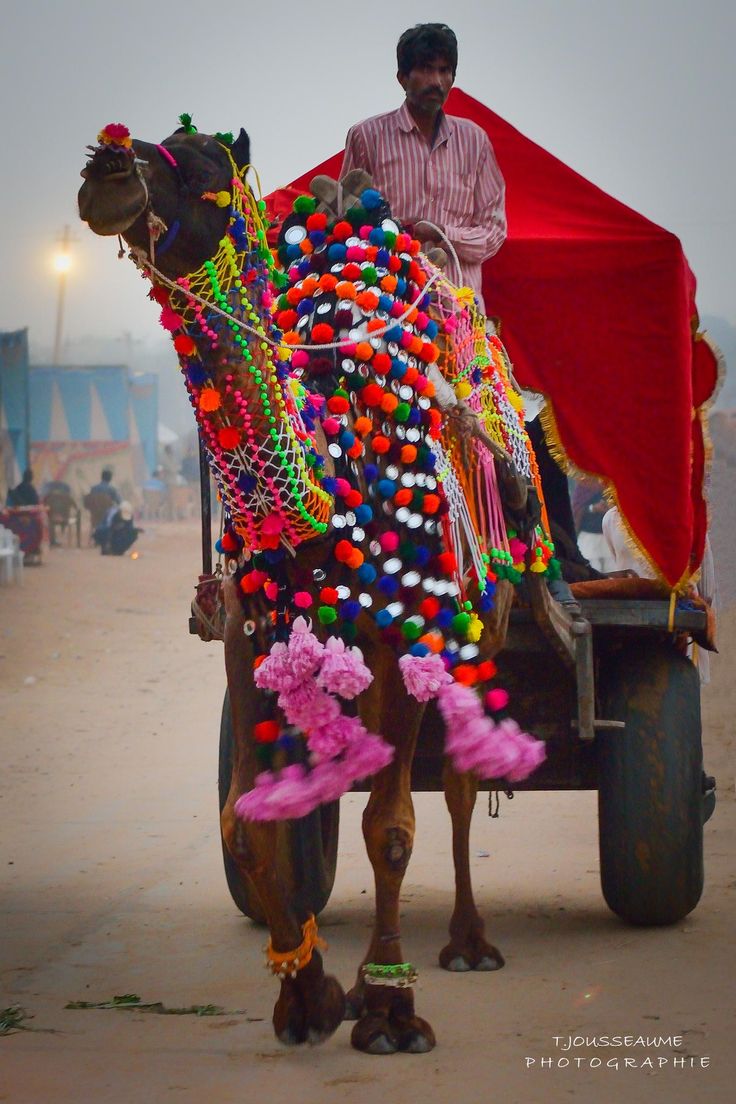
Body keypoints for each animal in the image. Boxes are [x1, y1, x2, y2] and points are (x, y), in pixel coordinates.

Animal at [77, 120, 558, 1051]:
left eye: (204, 166)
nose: (107, 168)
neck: (338, 470)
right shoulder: (251, 634)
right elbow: (247, 818)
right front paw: (306, 996)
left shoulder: (405, 633)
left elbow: (391, 828)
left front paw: (390, 1010)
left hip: (480, 621)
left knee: (456, 782)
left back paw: (467, 943)